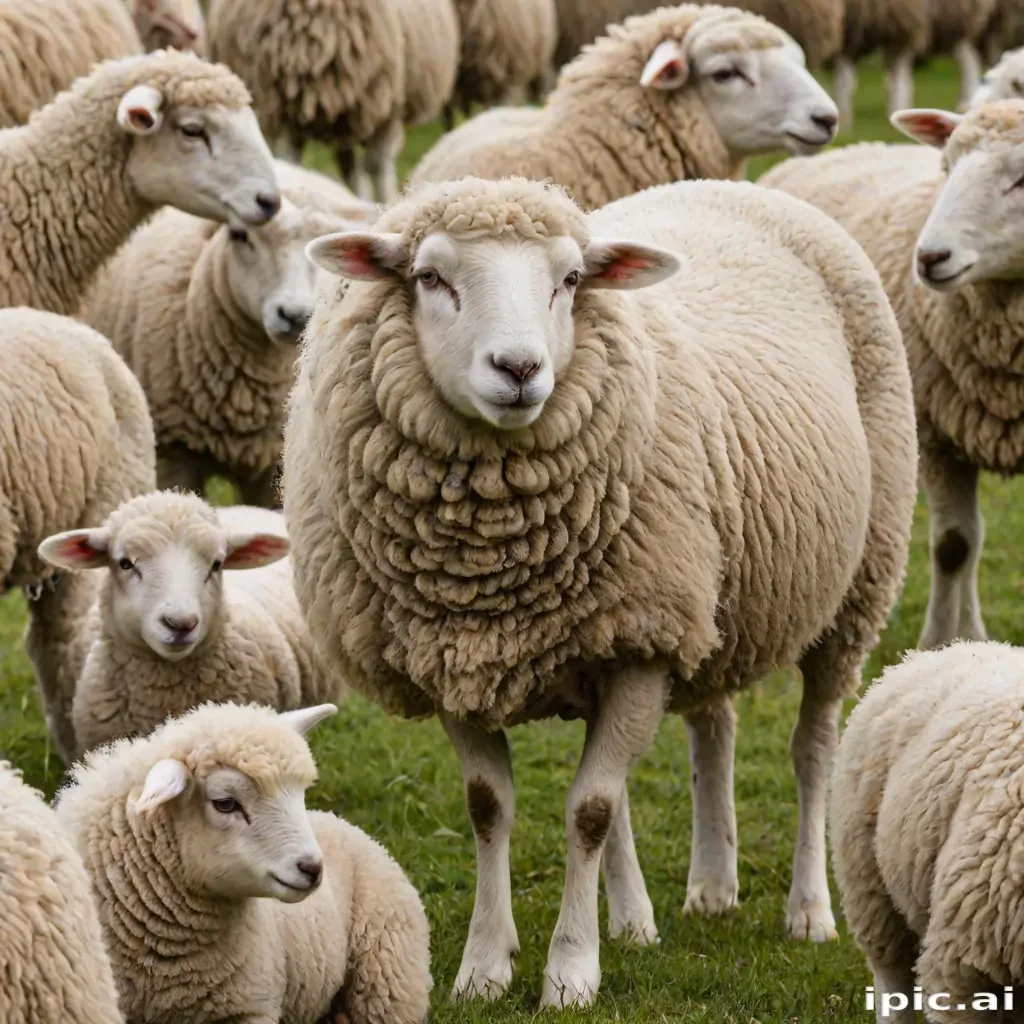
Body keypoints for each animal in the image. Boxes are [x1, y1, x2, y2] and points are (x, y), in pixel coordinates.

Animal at [56, 701, 432, 1024]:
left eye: (300, 794)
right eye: (225, 803)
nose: (313, 869)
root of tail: (342, 823)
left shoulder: (249, 1009)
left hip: (389, 977)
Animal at [284, 174, 917, 1004]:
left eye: (572, 279)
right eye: (429, 277)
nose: (519, 369)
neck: (493, 559)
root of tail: (734, 185)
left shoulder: (640, 646)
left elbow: (587, 809)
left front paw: (570, 970)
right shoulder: (452, 653)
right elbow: (491, 807)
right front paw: (485, 965)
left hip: (855, 585)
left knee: (812, 748)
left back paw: (807, 909)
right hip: (700, 600)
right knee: (712, 725)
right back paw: (695, 894)